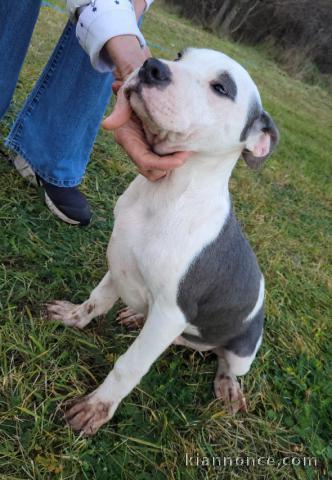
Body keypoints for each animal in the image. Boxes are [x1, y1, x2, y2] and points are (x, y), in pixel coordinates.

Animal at [48, 47, 278, 436]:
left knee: (224, 361)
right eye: (181, 56)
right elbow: (96, 300)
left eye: (221, 88)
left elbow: (129, 365)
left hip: (243, 351)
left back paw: (228, 386)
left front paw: (96, 408)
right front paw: (74, 317)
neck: (168, 192)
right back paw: (134, 315)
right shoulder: (120, 262)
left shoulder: (172, 312)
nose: (152, 67)